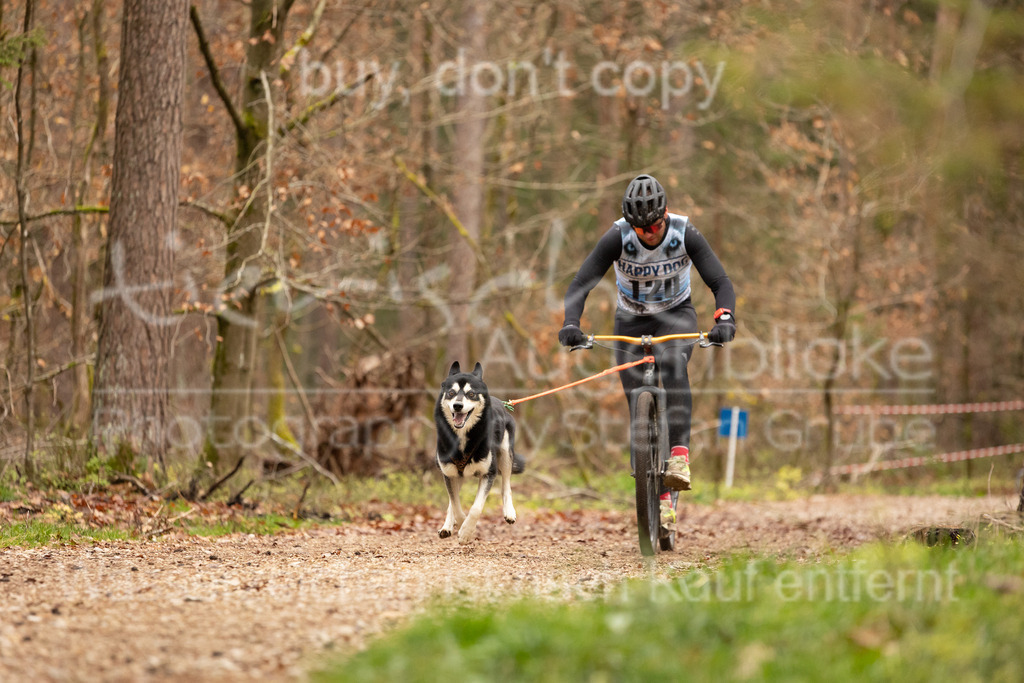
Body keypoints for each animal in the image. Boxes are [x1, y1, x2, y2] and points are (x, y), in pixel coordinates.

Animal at [434, 360, 524, 540]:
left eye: (471, 394)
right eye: (451, 393)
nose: (457, 406)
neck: (462, 437)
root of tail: (501, 402)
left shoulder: (488, 473)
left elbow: (476, 508)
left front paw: (466, 532)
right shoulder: (449, 474)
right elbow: (455, 504)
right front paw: (462, 525)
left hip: (505, 454)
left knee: (506, 485)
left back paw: (509, 512)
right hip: (455, 476)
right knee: (452, 501)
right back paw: (447, 526)